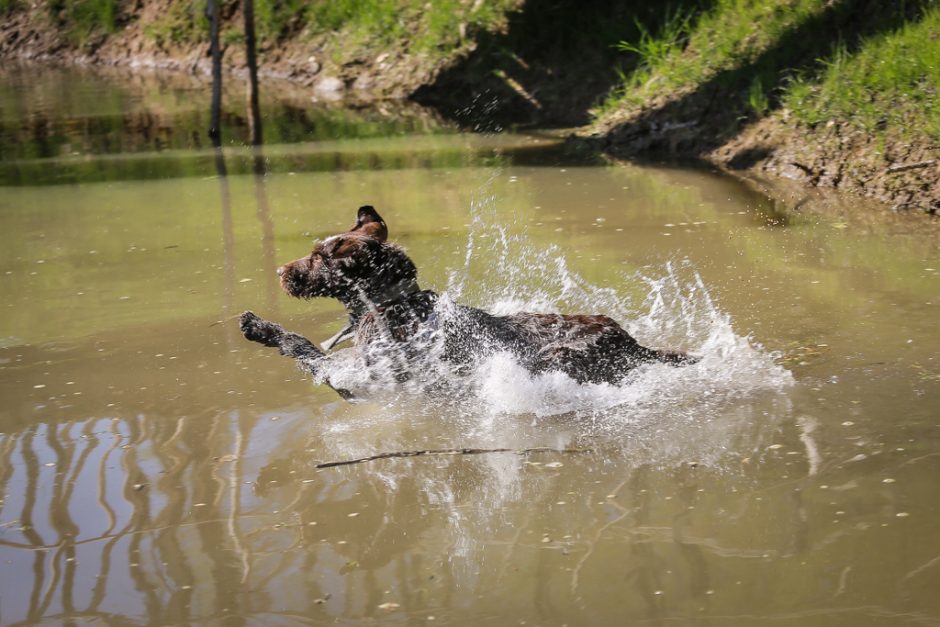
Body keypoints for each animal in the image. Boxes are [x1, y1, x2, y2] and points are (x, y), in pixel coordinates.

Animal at [241, 209, 696, 400]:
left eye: (318, 258)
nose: (280, 271)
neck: (390, 305)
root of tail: (634, 344)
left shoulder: (366, 381)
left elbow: (303, 348)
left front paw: (261, 327)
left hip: (555, 357)